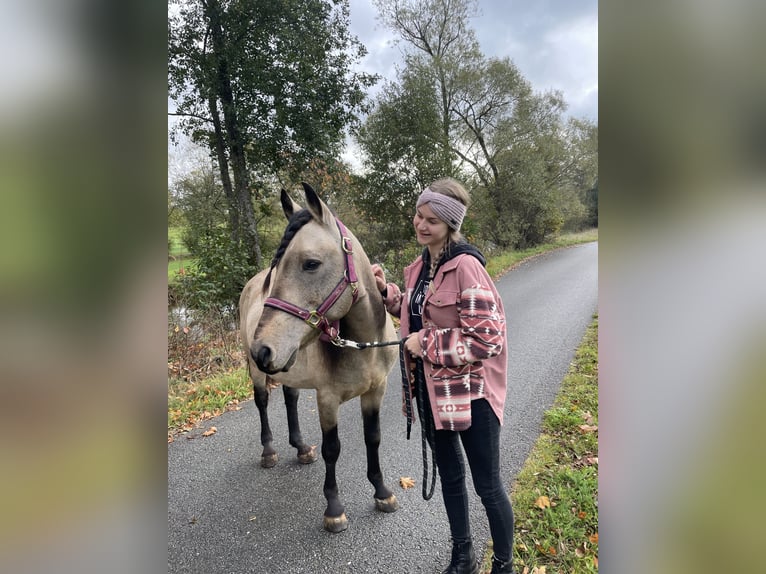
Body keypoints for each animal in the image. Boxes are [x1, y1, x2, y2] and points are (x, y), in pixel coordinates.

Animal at [238, 184, 402, 536]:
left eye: (311, 264)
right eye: (275, 270)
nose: (262, 350)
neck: (364, 346)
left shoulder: (376, 391)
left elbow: (373, 438)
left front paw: (382, 492)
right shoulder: (327, 399)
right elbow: (332, 449)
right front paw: (334, 510)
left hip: (288, 368)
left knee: (290, 398)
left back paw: (300, 448)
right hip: (259, 373)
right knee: (262, 402)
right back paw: (269, 451)